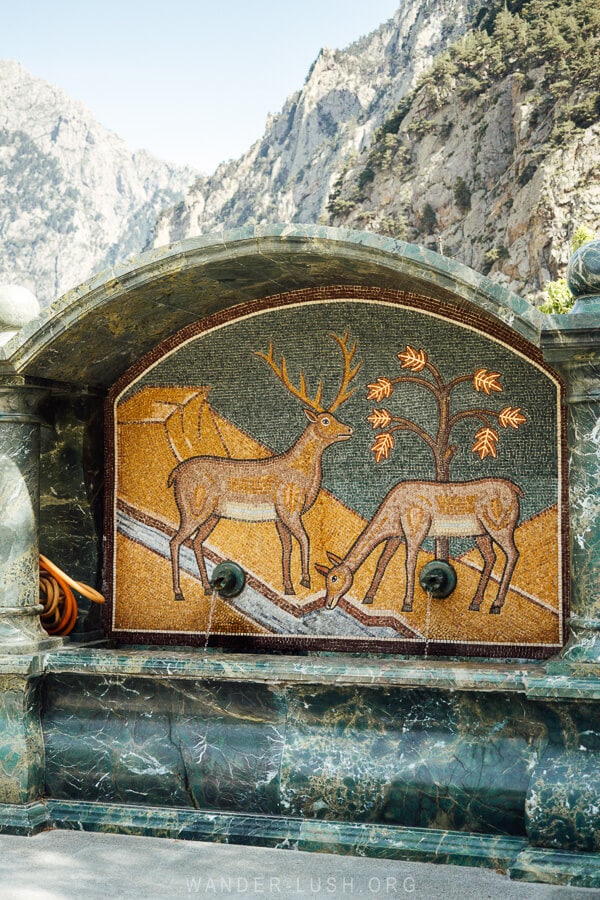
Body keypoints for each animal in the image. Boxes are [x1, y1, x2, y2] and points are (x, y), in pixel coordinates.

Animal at [166, 328, 358, 596]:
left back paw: (205, 586)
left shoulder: (278, 517)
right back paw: (178, 591)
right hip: (193, 507)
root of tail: (175, 473)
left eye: (335, 417)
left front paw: (289, 587)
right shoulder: (289, 509)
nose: (349, 429)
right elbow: (305, 539)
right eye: (325, 421)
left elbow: (286, 548)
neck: (304, 476)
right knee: (176, 540)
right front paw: (305, 580)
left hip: (212, 514)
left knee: (195, 542)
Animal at [318, 482, 520, 616]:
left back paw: (496, 605)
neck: (391, 512)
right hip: (481, 534)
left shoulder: (415, 530)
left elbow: (409, 562)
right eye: (327, 578)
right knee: (491, 557)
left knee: (513, 553)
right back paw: (476, 603)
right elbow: (382, 561)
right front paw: (368, 597)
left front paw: (407, 604)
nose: (328, 604)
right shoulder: (396, 535)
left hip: (500, 527)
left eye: (333, 577)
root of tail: (515, 490)